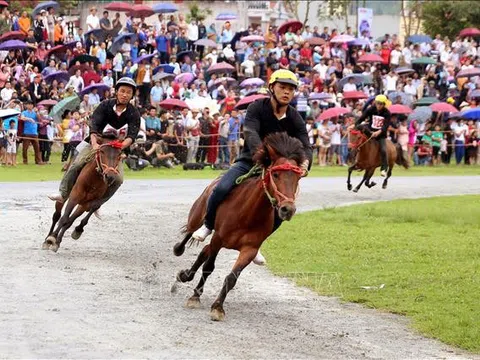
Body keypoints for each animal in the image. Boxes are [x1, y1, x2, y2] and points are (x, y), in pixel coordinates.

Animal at [173, 132, 308, 320]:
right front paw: (195, 297)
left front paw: (218, 307)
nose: (288, 209)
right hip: (198, 215)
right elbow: (208, 267)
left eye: (297, 177)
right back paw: (181, 250)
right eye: (275, 175)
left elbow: (231, 278)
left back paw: (186, 276)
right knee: (191, 233)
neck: (247, 214)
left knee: (204, 251)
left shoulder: (249, 250)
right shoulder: (218, 239)